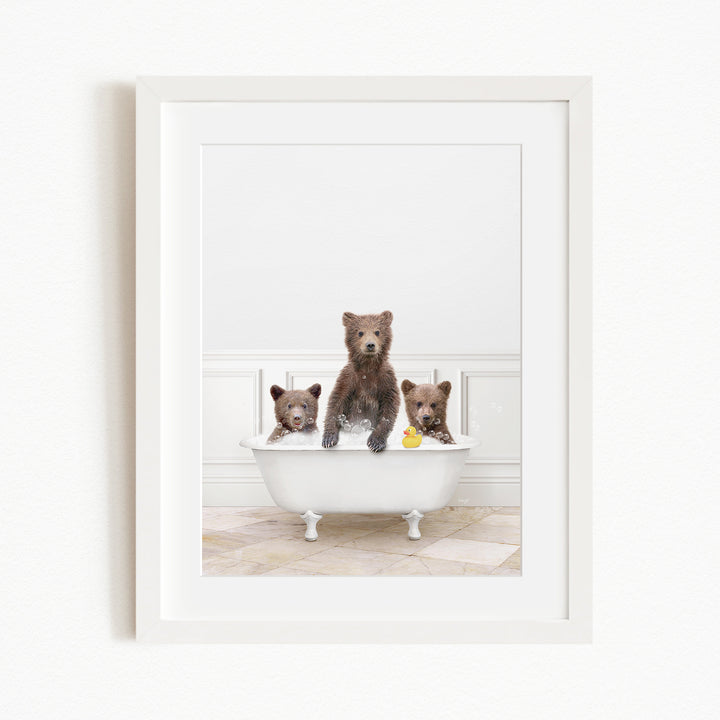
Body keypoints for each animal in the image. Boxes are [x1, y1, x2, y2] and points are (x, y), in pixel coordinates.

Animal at [322, 311, 400, 453]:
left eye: (377, 331)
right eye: (360, 332)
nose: (370, 345)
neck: (368, 366)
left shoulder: (386, 379)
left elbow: (389, 407)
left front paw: (375, 442)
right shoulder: (349, 377)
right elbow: (336, 401)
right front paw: (328, 439)